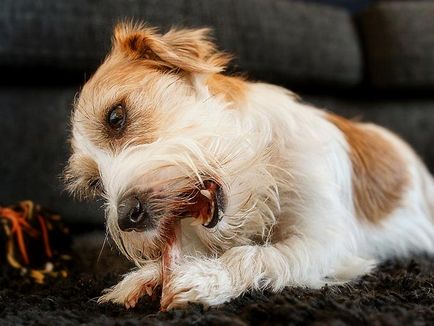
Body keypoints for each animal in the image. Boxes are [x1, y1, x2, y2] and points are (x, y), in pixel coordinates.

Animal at [63, 21, 434, 310]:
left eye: (116, 117)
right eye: (95, 184)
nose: (127, 217)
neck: (264, 167)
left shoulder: (326, 243)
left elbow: (255, 255)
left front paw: (207, 277)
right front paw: (144, 277)